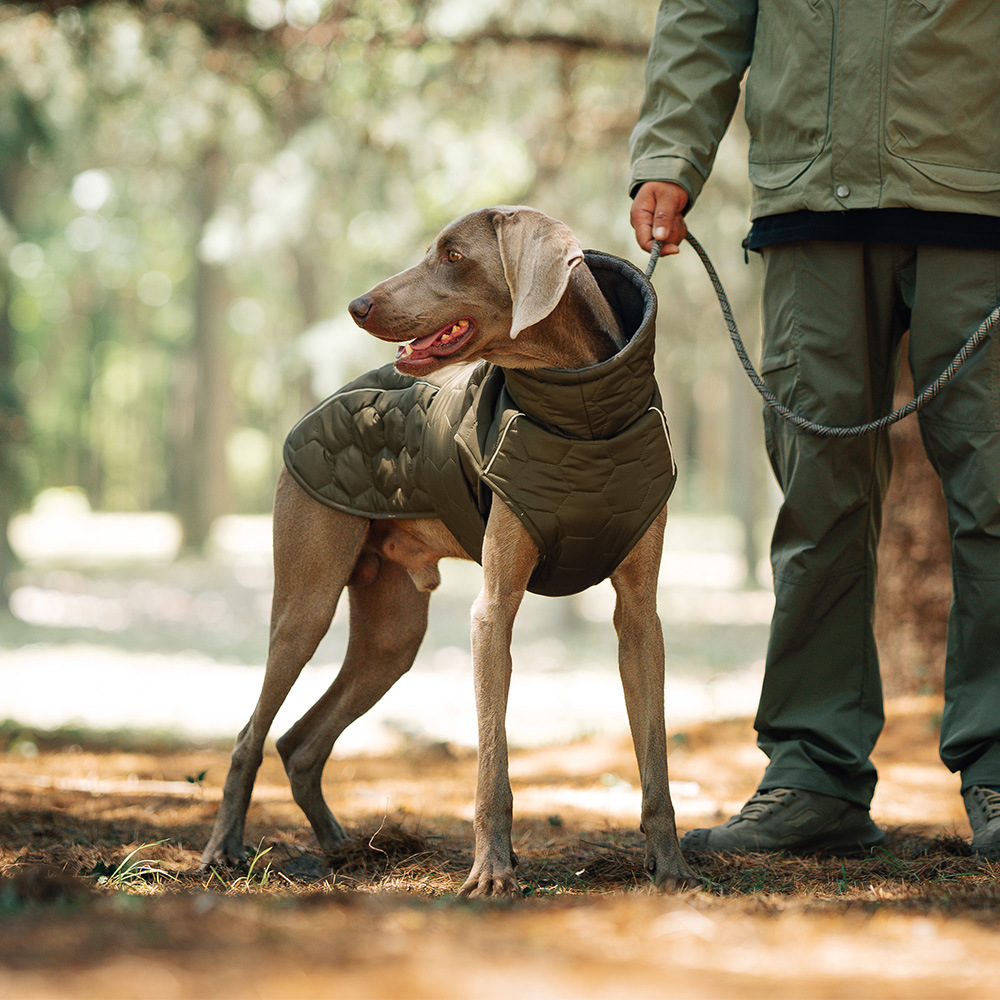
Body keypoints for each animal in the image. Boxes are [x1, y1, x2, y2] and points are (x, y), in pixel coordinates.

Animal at [201, 207, 704, 896]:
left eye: (454, 255)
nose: (356, 306)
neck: (581, 420)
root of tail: (317, 408)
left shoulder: (639, 618)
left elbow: (655, 762)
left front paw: (672, 867)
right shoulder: (494, 609)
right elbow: (492, 763)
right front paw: (492, 872)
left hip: (392, 638)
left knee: (300, 743)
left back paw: (343, 849)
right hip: (306, 604)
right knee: (251, 735)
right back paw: (223, 851)